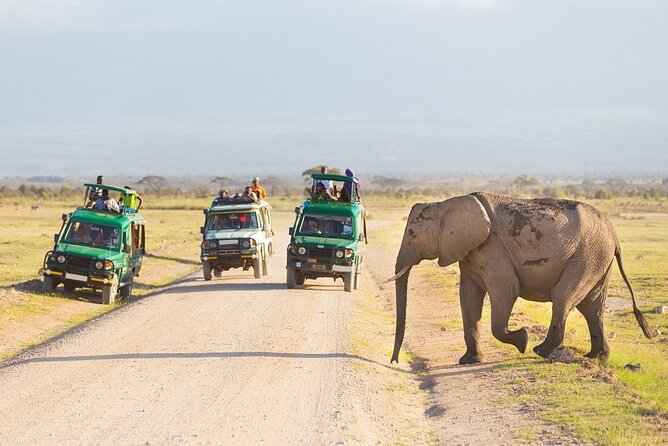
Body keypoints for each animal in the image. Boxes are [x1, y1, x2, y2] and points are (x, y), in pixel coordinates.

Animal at [389, 192, 651, 364]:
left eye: (412, 233)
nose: (395, 362)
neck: (445, 203)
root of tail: (614, 234)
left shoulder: (492, 249)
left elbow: (507, 290)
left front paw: (522, 339)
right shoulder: (470, 252)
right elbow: (468, 298)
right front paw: (469, 361)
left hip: (587, 256)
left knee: (563, 298)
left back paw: (540, 351)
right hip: (597, 258)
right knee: (592, 307)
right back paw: (595, 359)